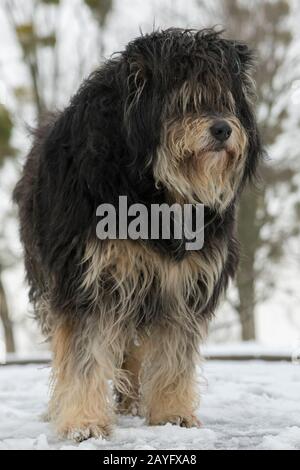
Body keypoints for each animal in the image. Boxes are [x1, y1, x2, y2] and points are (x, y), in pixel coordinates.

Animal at [14, 28, 262, 440]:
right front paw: (84, 422)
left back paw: (129, 402)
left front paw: (172, 414)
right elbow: (83, 356)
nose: (223, 129)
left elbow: (174, 355)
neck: (152, 189)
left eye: (226, 101)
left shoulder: (181, 284)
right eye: (184, 100)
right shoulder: (89, 278)